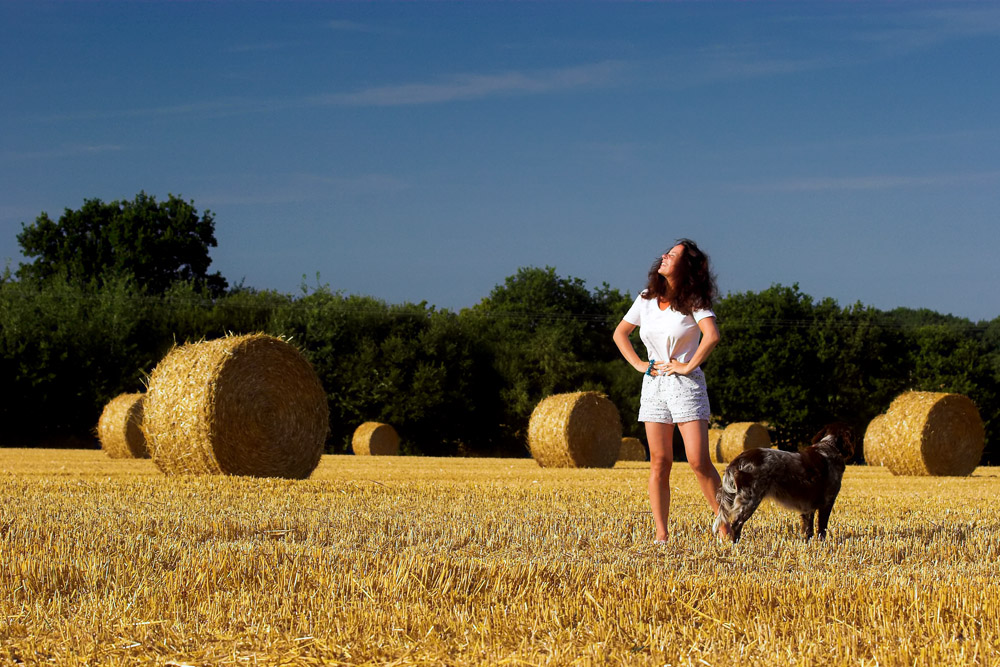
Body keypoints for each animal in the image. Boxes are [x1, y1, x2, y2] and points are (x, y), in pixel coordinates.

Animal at [712, 422, 852, 544]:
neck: (829, 447)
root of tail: (738, 460)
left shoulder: (808, 507)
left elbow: (809, 530)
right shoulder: (827, 502)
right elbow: (822, 529)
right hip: (750, 499)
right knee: (736, 524)